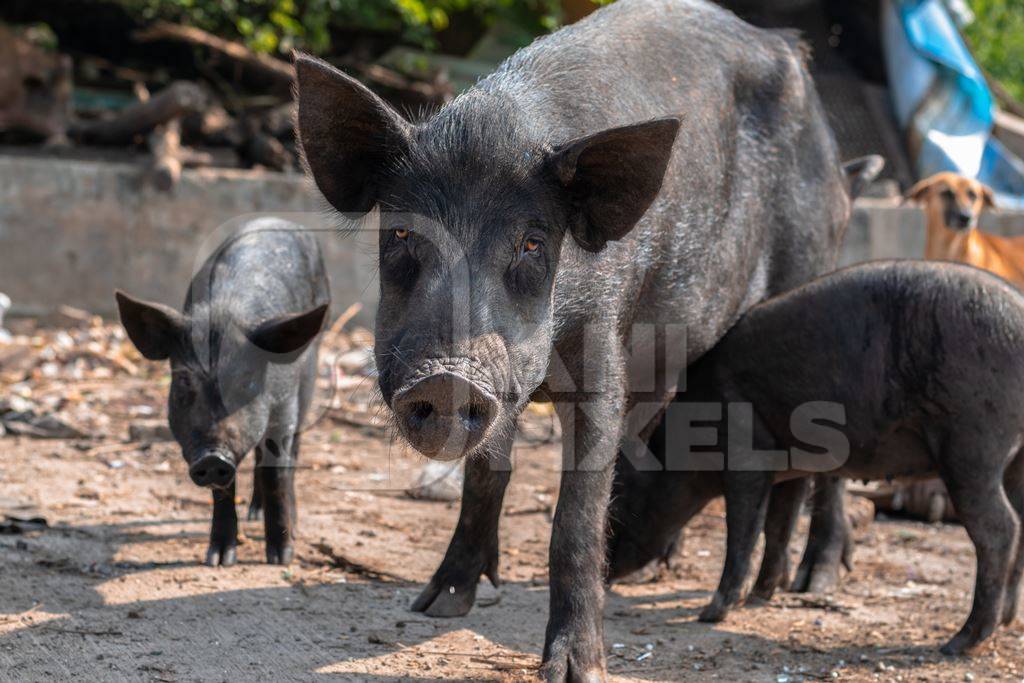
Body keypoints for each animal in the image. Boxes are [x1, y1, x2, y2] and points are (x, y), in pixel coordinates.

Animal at [115, 219, 327, 565]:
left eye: (247, 381)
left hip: (311, 370)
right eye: (184, 382)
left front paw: (281, 558)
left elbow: (276, 473)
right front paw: (218, 560)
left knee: (291, 452)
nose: (213, 455)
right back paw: (254, 513)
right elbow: (223, 490)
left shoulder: (283, 406)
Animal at [294, 0, 856, 671]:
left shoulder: (601, 351)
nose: (448, 379)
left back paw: (814, 581)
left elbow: (577, 513)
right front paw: (436, 606)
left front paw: (576, 668)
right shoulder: (506, 380)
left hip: (810, 268)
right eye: (404, 234)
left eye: (533, 243)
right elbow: (486, 476)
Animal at [606, 259, 1024, 655]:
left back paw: (958, 643)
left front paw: (711, 614)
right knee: (1020, 521)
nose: (606, 576)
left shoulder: (746, 455)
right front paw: (759, 597)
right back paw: (1005, 621)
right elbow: (779, 523)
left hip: (971, 445)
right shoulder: (791, 466)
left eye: (622, 497)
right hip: (1011, 459)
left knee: (1000, 528)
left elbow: (743, 529)